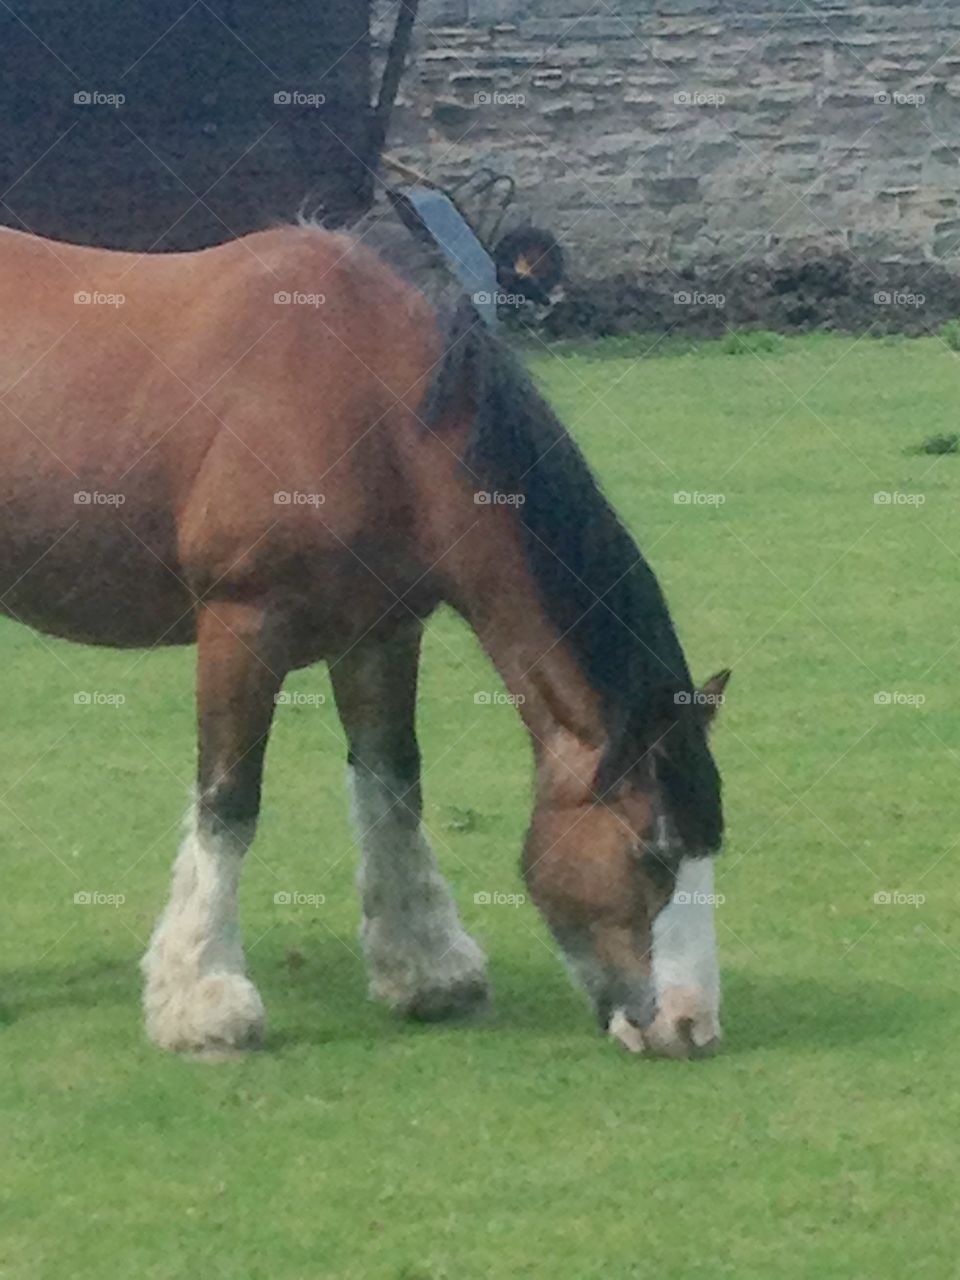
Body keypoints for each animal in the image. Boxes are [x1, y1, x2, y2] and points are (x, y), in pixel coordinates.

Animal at [0, 222, 727, 1059]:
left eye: (712, 841)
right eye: (653, 851)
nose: (691, 1025)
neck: (372, 407)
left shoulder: (381, 633)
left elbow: (394, 786)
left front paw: (427, 971)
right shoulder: (242, 625)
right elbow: (228, 802)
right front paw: (204, 1000)